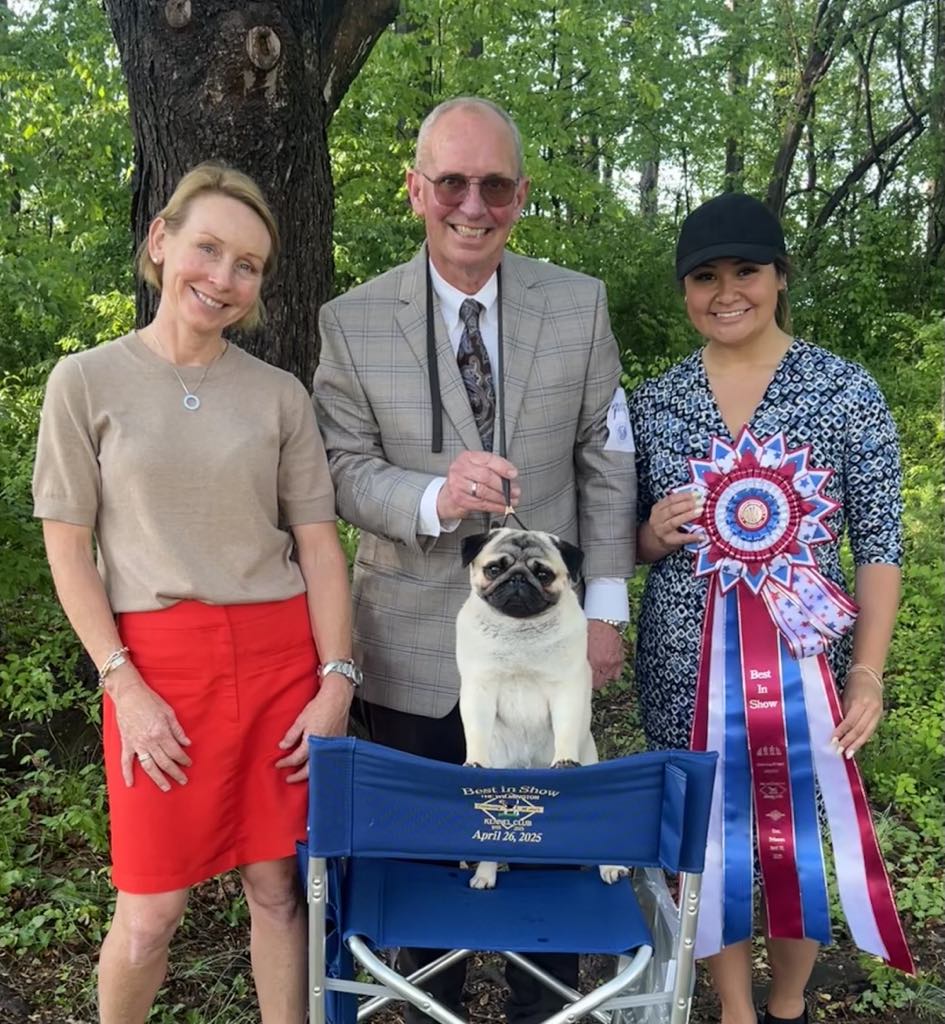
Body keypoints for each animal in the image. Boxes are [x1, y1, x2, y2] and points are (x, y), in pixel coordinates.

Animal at [456, 526, 628, 890]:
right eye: (495, 568)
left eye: (543, 574)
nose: (518, 578)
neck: (519, 633)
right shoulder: (479, 689)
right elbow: (476, 731)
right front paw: (474, 761)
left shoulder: (565, 691)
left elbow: (564, 729)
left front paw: (563, 761)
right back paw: (486, 873)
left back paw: (610, 867)